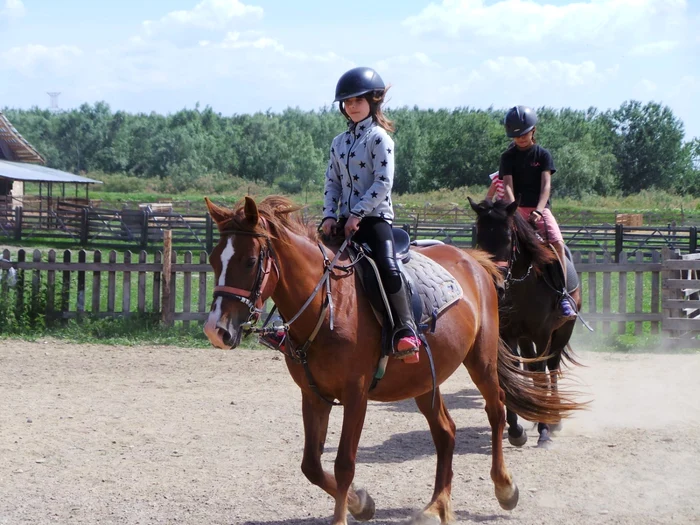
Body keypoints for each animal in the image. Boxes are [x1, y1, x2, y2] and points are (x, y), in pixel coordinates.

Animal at [470, 196, 584, 446]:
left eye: (508, 237)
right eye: (480, 237)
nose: (496, 283)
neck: (522, 285)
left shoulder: (541, 334)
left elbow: (540, 372)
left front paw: (544, 430)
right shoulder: (508, 334)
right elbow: (515, 370)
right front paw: (515, 429)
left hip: (562, 332)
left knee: (551, 367)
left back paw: (554, 418)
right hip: (524, 338)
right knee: (531, 366)